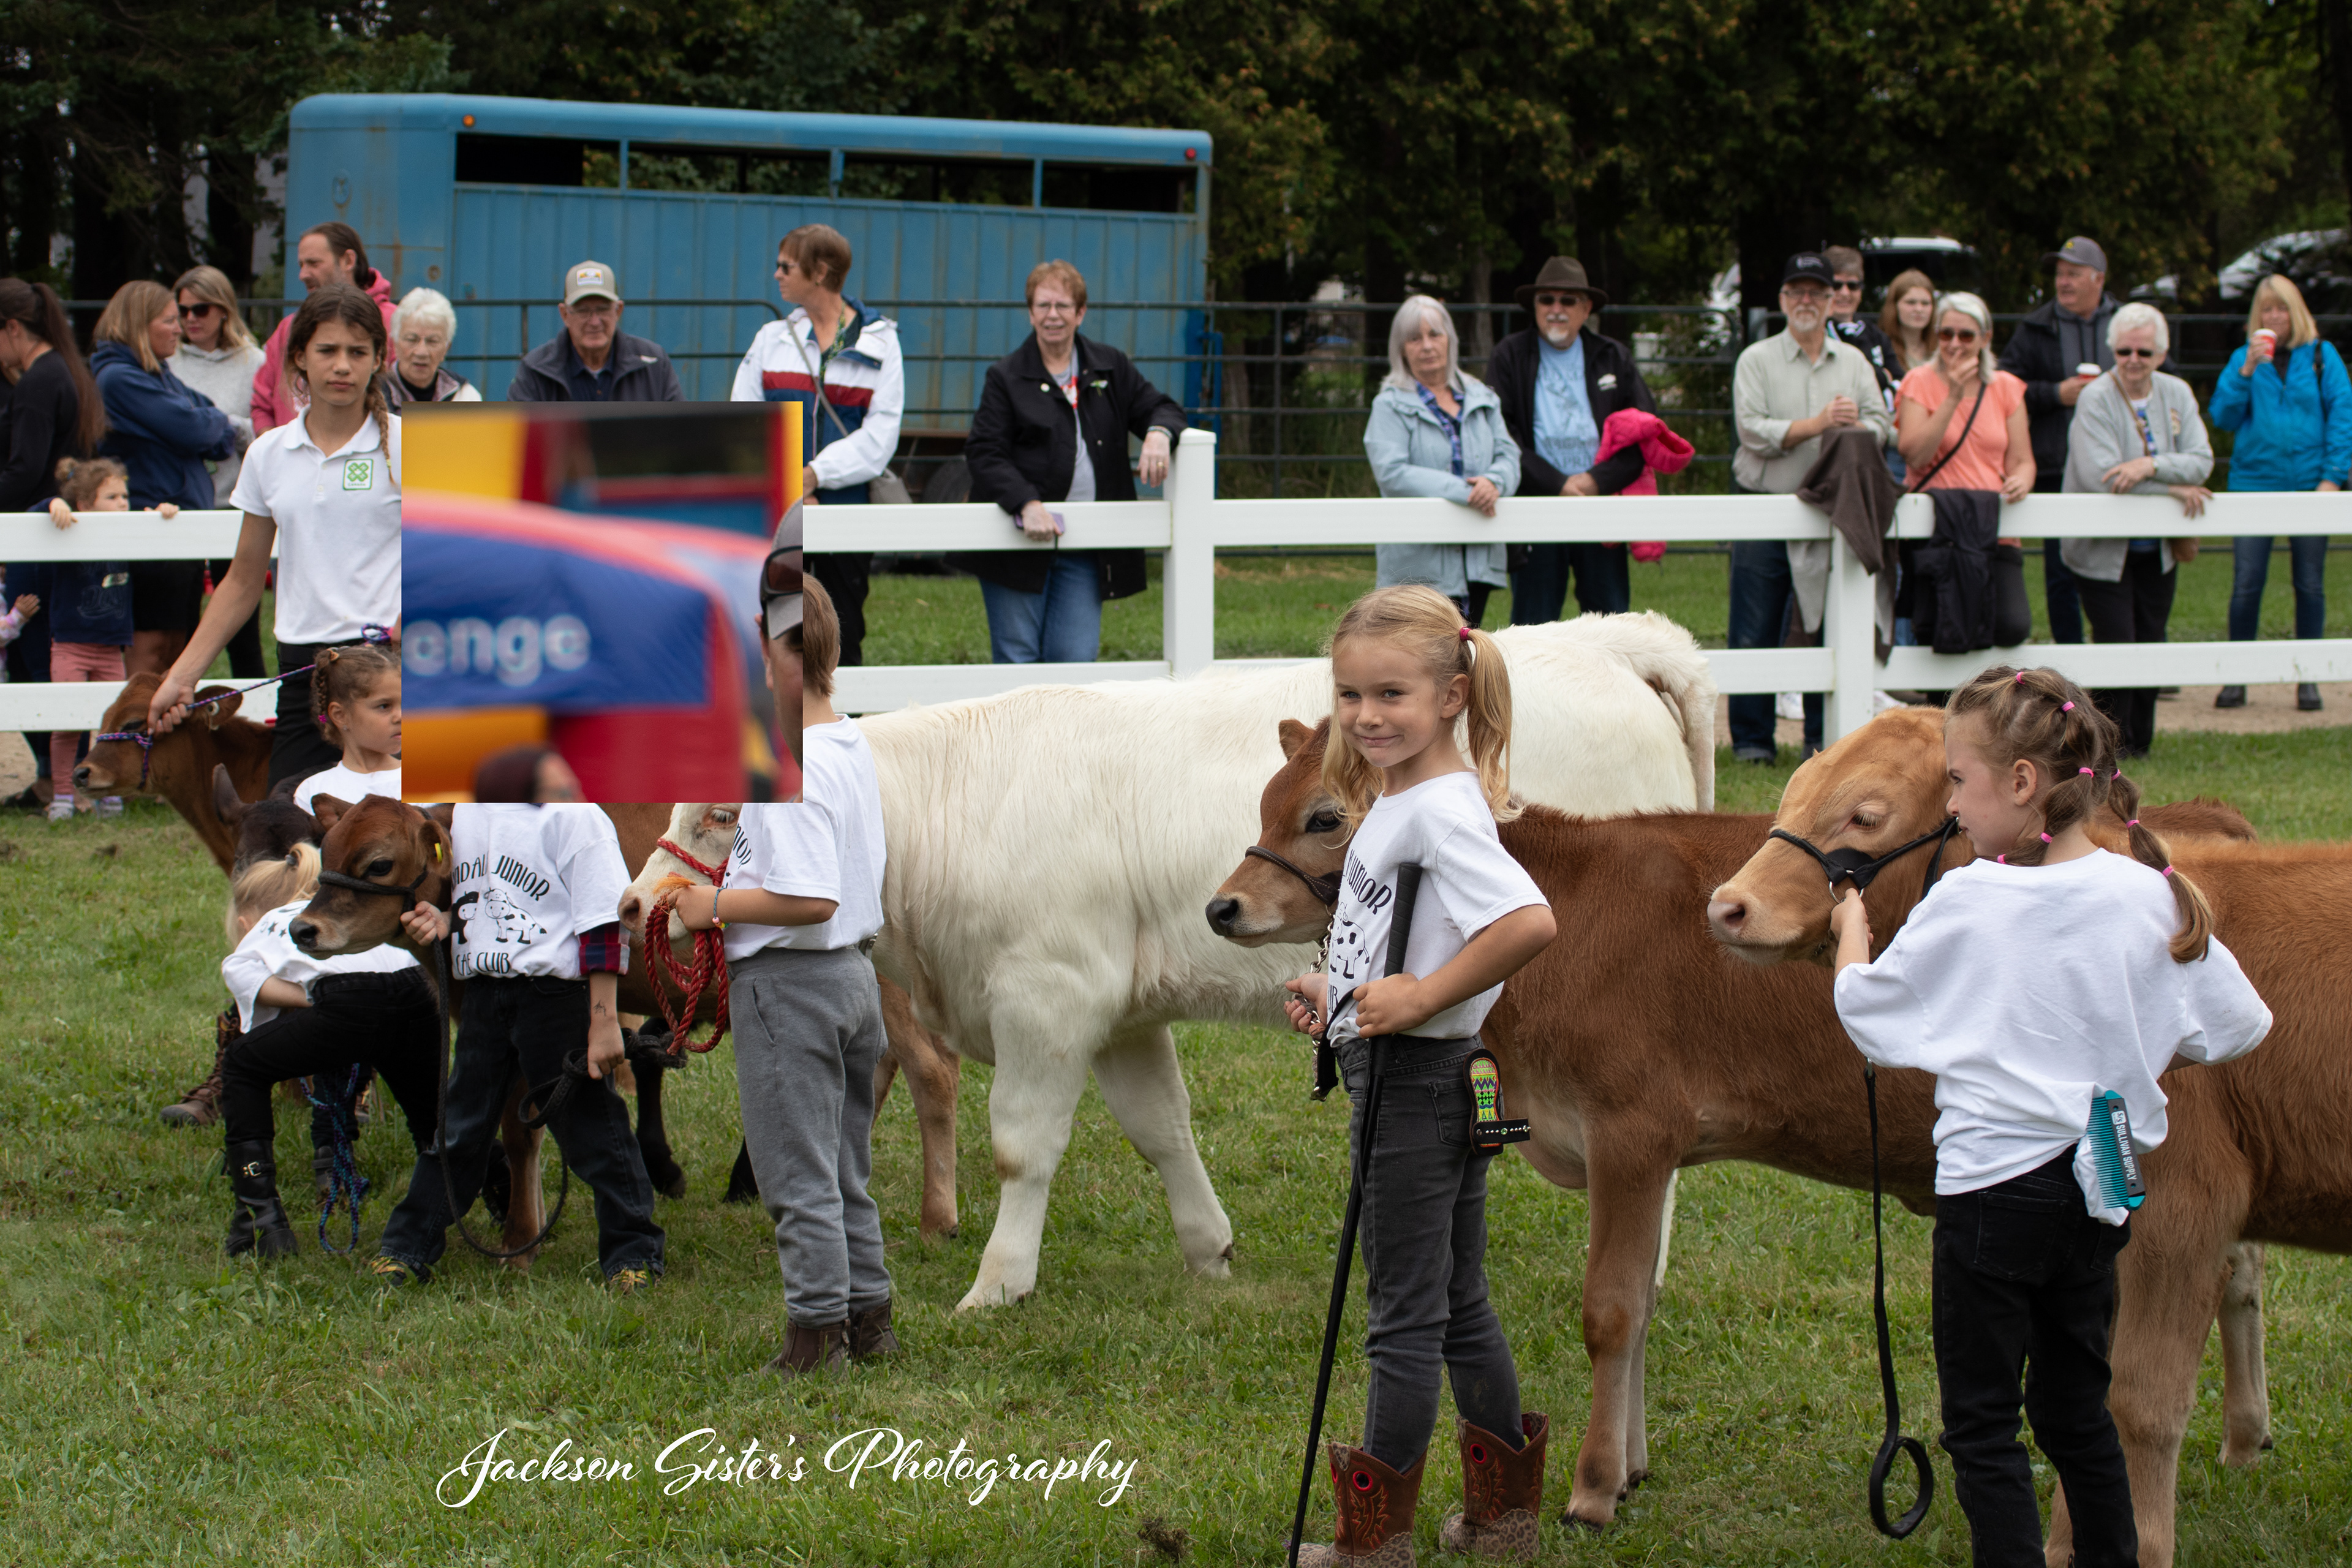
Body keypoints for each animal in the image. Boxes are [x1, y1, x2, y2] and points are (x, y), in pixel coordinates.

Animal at [862, 612, 1718, 1311]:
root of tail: (1608, 637)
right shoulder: (1120, 1015)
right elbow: (1161, 1126)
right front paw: (1208, 1250)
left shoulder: (1048, 994)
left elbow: (1022, 1146)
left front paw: (998, 1281)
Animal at [1209, 717, 2279, 1557]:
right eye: (1265, 803)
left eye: (1327, 817)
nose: (1223, 905)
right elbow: (1642, 1301)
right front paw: (1632, 1464)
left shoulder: (1632, 1133)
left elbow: (1612, 1309)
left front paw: (1592, 1487)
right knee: (2239, 1274)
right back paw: (2247, 1435)